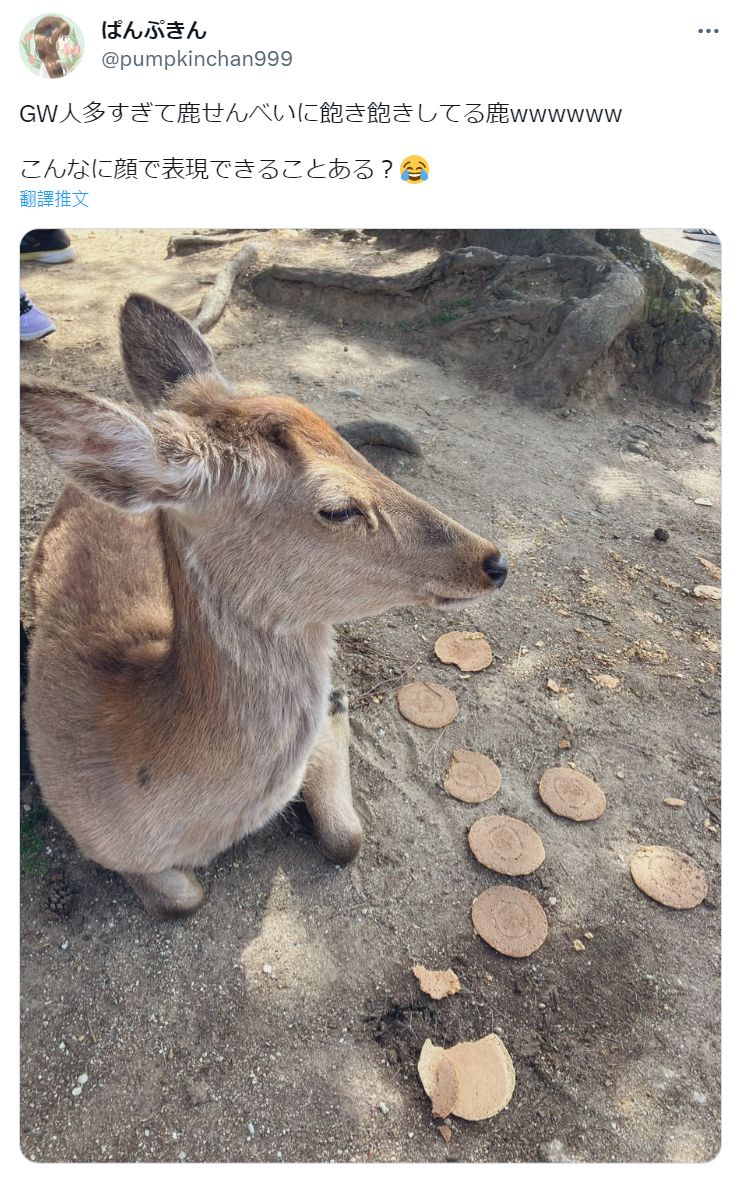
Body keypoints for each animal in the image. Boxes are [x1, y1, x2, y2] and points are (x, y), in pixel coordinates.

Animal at [21, 297, 509, 919]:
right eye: (337, 508)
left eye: (355, 453)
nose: (493, 561)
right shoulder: (85, 825)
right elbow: (183, 899)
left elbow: (347, 838)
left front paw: (339, 704)